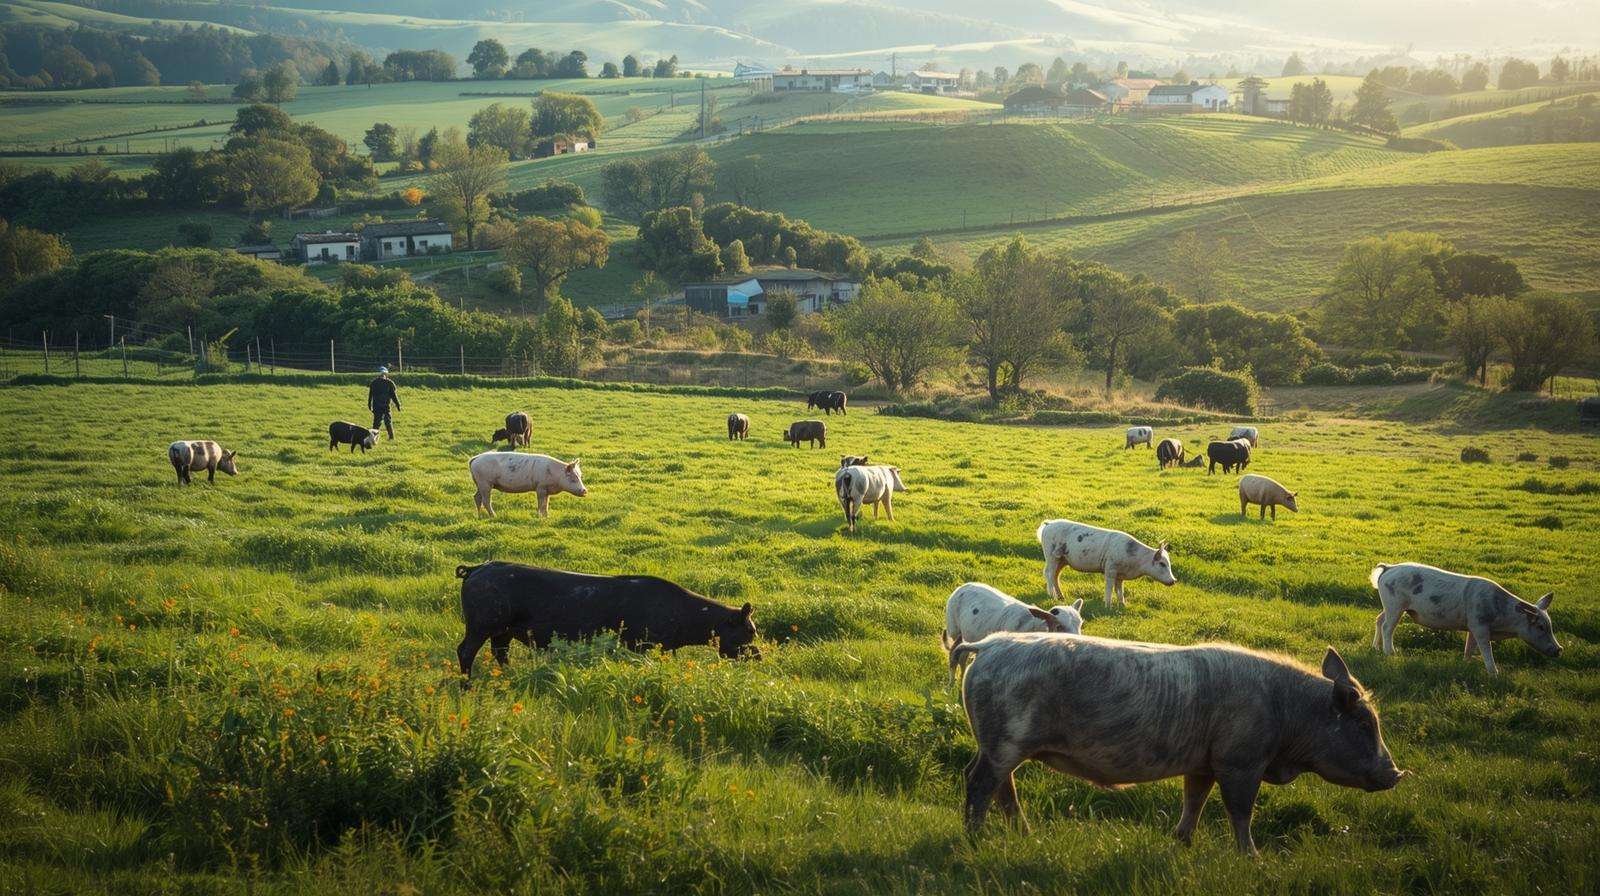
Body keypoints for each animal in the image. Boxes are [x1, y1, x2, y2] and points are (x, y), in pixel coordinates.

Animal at [455, 562, 760, 677]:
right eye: (749, 632)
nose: (758, 657)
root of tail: (477, 568)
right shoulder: (643, 645)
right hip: (480, 626)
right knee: (465, 651)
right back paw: (467, 684)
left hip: (502, 631)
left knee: (500, 652)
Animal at [943, 581, 1082, 668]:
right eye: (1059, 626)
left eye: (1080, 624)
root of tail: (964, 586)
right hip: (954, 629)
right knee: (955, 656)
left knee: (962, 656)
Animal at [952, 634, 1405, 854]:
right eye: (1364, 722)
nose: (1397, 772)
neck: (1287, 712)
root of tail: (990, 645)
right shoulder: (1240, 761)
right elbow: (1240, 811)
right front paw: (1252, 859)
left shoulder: (1203, 762)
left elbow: (1195, 800)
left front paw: (1181, 842)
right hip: (1004, 741)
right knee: (979, 782)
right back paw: (976, 838)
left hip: (1000, 743)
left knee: (1001, 786)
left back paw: (1025, 835)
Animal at [1038, 519, 1175, 608]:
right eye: (1162, 564)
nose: (1174, 580)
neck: (1135, 561)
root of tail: (1049, 524)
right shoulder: (1110, 568)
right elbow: (1109, 587)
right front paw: (1108, 606)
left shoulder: (1120, 575)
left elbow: (1119, 589)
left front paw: (1123, 605)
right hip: (1051, 555)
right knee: (1049, 573)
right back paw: (1052, 597)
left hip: (1062, 560)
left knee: (1056, 576)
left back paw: (1062, 597)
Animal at [1370, 563, 1561, 674]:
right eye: (1541, 627)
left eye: (1550, 625)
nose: (1560, 650)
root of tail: (1389, 568)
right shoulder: (1479, 625)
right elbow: (1486, 648)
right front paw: (1495, 674)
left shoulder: (1471, 626)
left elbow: (1469, 647)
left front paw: (1466, 664)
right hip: (1395, 605)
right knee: (1387, 627)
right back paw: (1391, 653)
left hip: (1389, 606)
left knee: (1379, 620)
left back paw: (1375, 648)